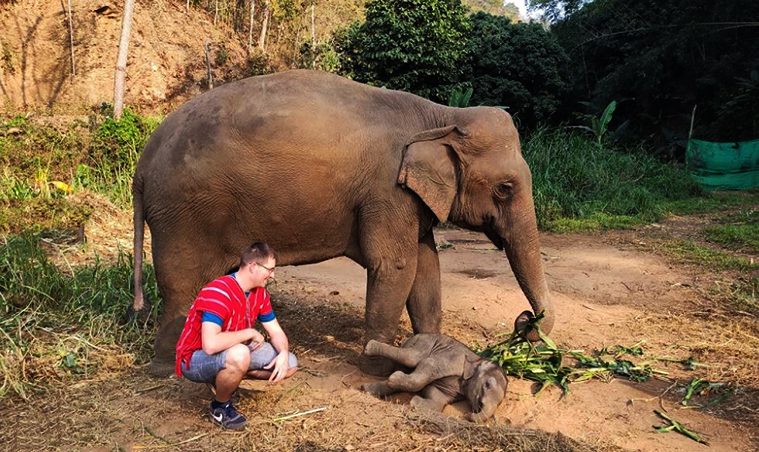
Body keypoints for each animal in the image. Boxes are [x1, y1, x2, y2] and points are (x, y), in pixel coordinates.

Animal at [134, 69, 556, 376]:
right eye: (505, 189)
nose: (524, 322)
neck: (444, 116)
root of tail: (143, 161)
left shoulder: (408, 198)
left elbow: (426, 266)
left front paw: (433, 347)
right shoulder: (387, 192)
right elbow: (396, 265)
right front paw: (376, 365)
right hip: (183, 212)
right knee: (180, 283)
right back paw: (166, 370)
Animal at [364, 332, 510, 424]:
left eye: (501, 402)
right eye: (487, 385)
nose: (467, 415)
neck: (478, 360)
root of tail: (414, 336)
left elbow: (437, 396)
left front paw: (415, 402)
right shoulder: (453, 359)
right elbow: (429, 364)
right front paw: (395, 379)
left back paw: (367, 389)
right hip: (424, 342)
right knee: (411, 357)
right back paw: (369, 348)